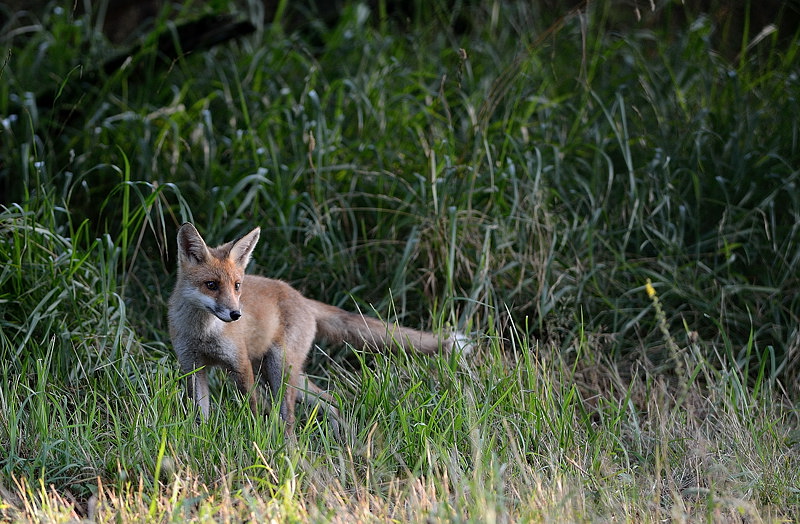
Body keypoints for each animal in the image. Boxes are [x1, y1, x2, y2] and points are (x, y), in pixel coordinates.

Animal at [168, 223, 467, 431]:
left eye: (237, 286)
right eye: (211, 285)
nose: (236, 314)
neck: (203, 333)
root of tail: (301, 297)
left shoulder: (240, 365)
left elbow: (251, 410)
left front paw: (253, 435)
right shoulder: (193, 367)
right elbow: (200, 415)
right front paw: (201, 439)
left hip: (280, 370)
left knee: (290, 416)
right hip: (280, 374)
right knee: (330, 399)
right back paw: (342, 435)